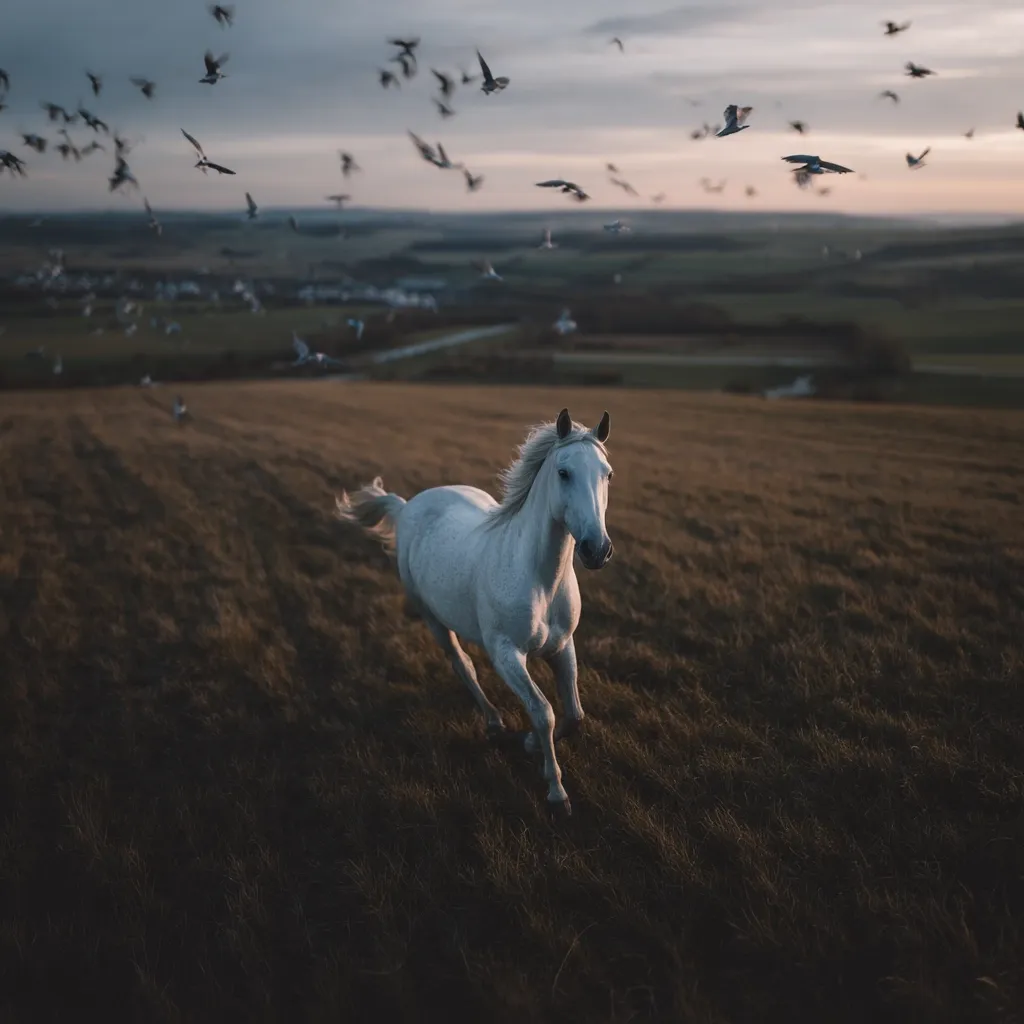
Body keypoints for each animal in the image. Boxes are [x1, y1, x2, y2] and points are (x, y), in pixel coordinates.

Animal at [334, 406, 614, 815]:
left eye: (608, 474)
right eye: (564, 472)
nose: (597, 550)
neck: (538, 579)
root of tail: (406, 505)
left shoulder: (562, 646)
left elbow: (574, 714)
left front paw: (531, 745)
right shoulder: (506, 655)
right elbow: (543, 712)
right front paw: (556, 792)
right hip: (432, 617)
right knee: (462, 664)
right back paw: (494, 722)